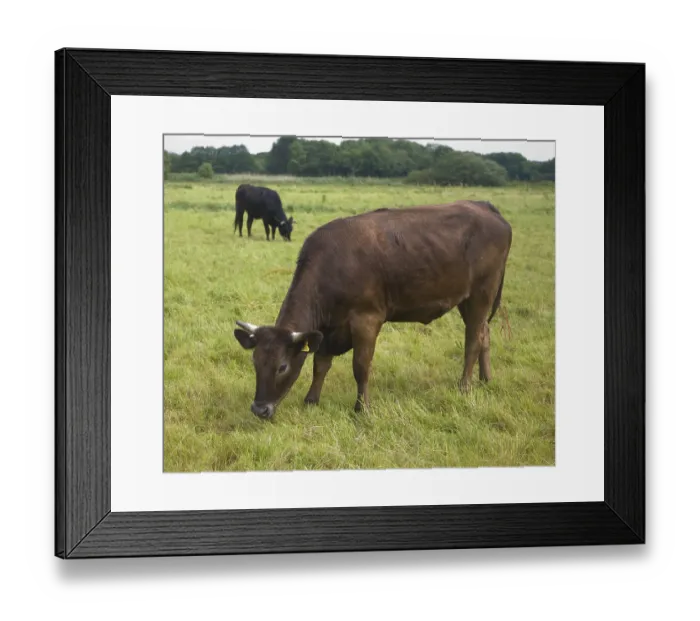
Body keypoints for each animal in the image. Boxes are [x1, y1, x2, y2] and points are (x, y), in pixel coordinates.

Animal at [233, 200, 512, 420]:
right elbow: (320, 364)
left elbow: (361, 366)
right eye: (255, 361)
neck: (332, 265)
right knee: (484, 334)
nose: (259, 409)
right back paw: (486, 379)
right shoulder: (328, 328)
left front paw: (362, 408)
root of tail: (483, 206)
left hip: (481, 293)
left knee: (473, 340)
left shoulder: (366, 320)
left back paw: (465, 386)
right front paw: (311, 400)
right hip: (469, 299)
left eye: (282, 367)